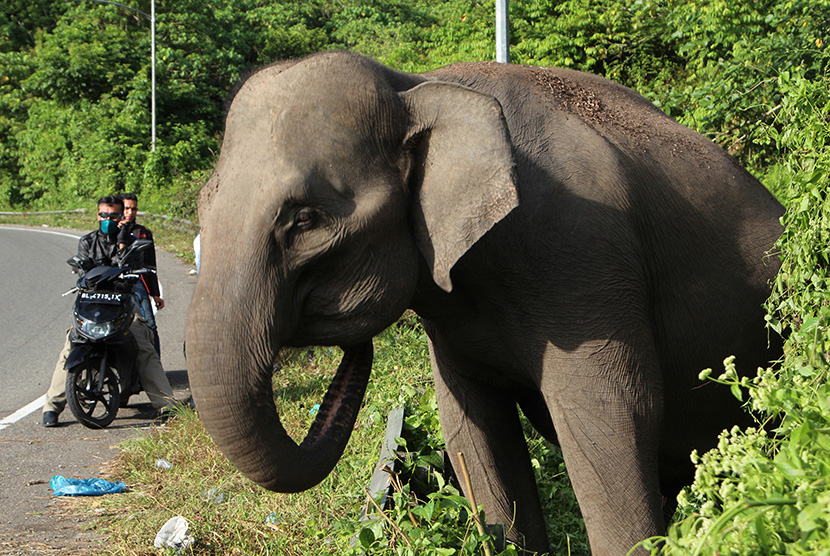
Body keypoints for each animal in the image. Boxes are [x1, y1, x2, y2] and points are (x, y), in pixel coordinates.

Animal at [187, 52, 788, 556]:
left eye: (306, 219)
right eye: (203, 204)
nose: (353, 344)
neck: (417, 86)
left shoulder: (582, 254)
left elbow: (612, 415)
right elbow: (471, 425)